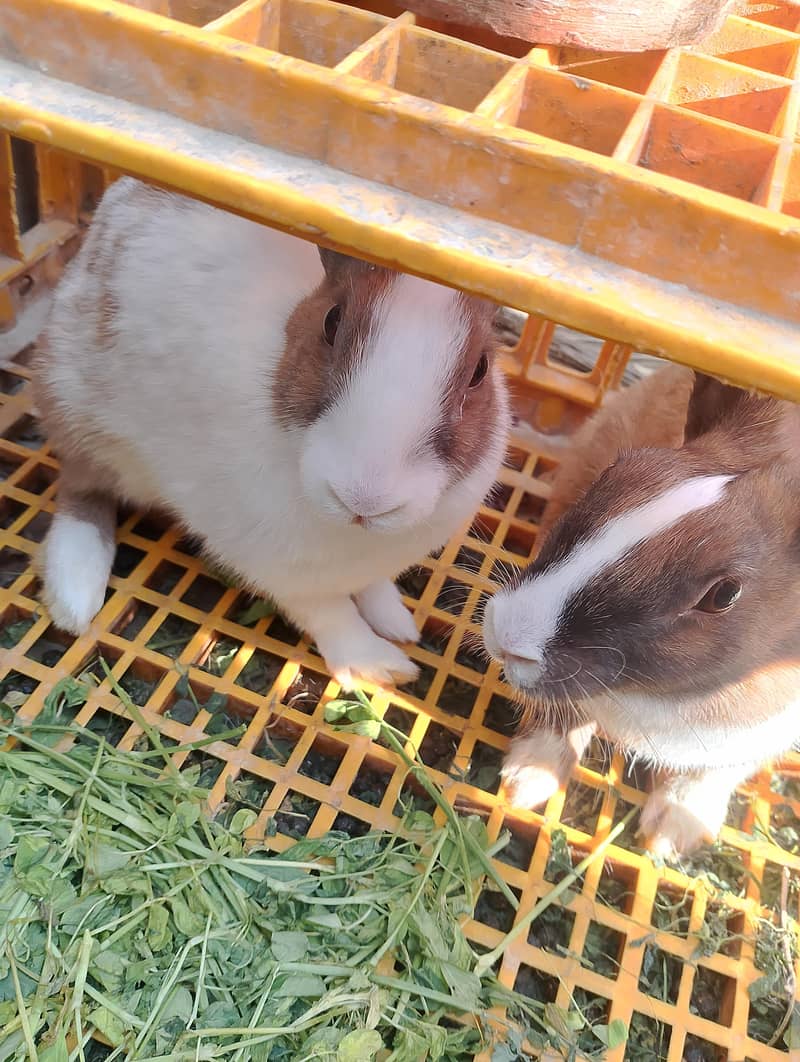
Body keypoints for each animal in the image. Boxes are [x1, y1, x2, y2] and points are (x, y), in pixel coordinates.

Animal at [33, 177, 510, 688]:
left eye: (480, 370)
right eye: (331, 322)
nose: (365, 498)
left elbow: (370, 589)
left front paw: (398, 622)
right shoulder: (277, 566)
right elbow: (330, 614)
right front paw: (379, 667)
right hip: (77, 410)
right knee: (82, 490)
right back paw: (74, 598)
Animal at [482, 361, 800, 857]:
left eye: (723, 594)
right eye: (619, 468)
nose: (503, 634)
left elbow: (713, 774)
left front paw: (671, 835)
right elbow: (566, 720)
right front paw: (526, 779)